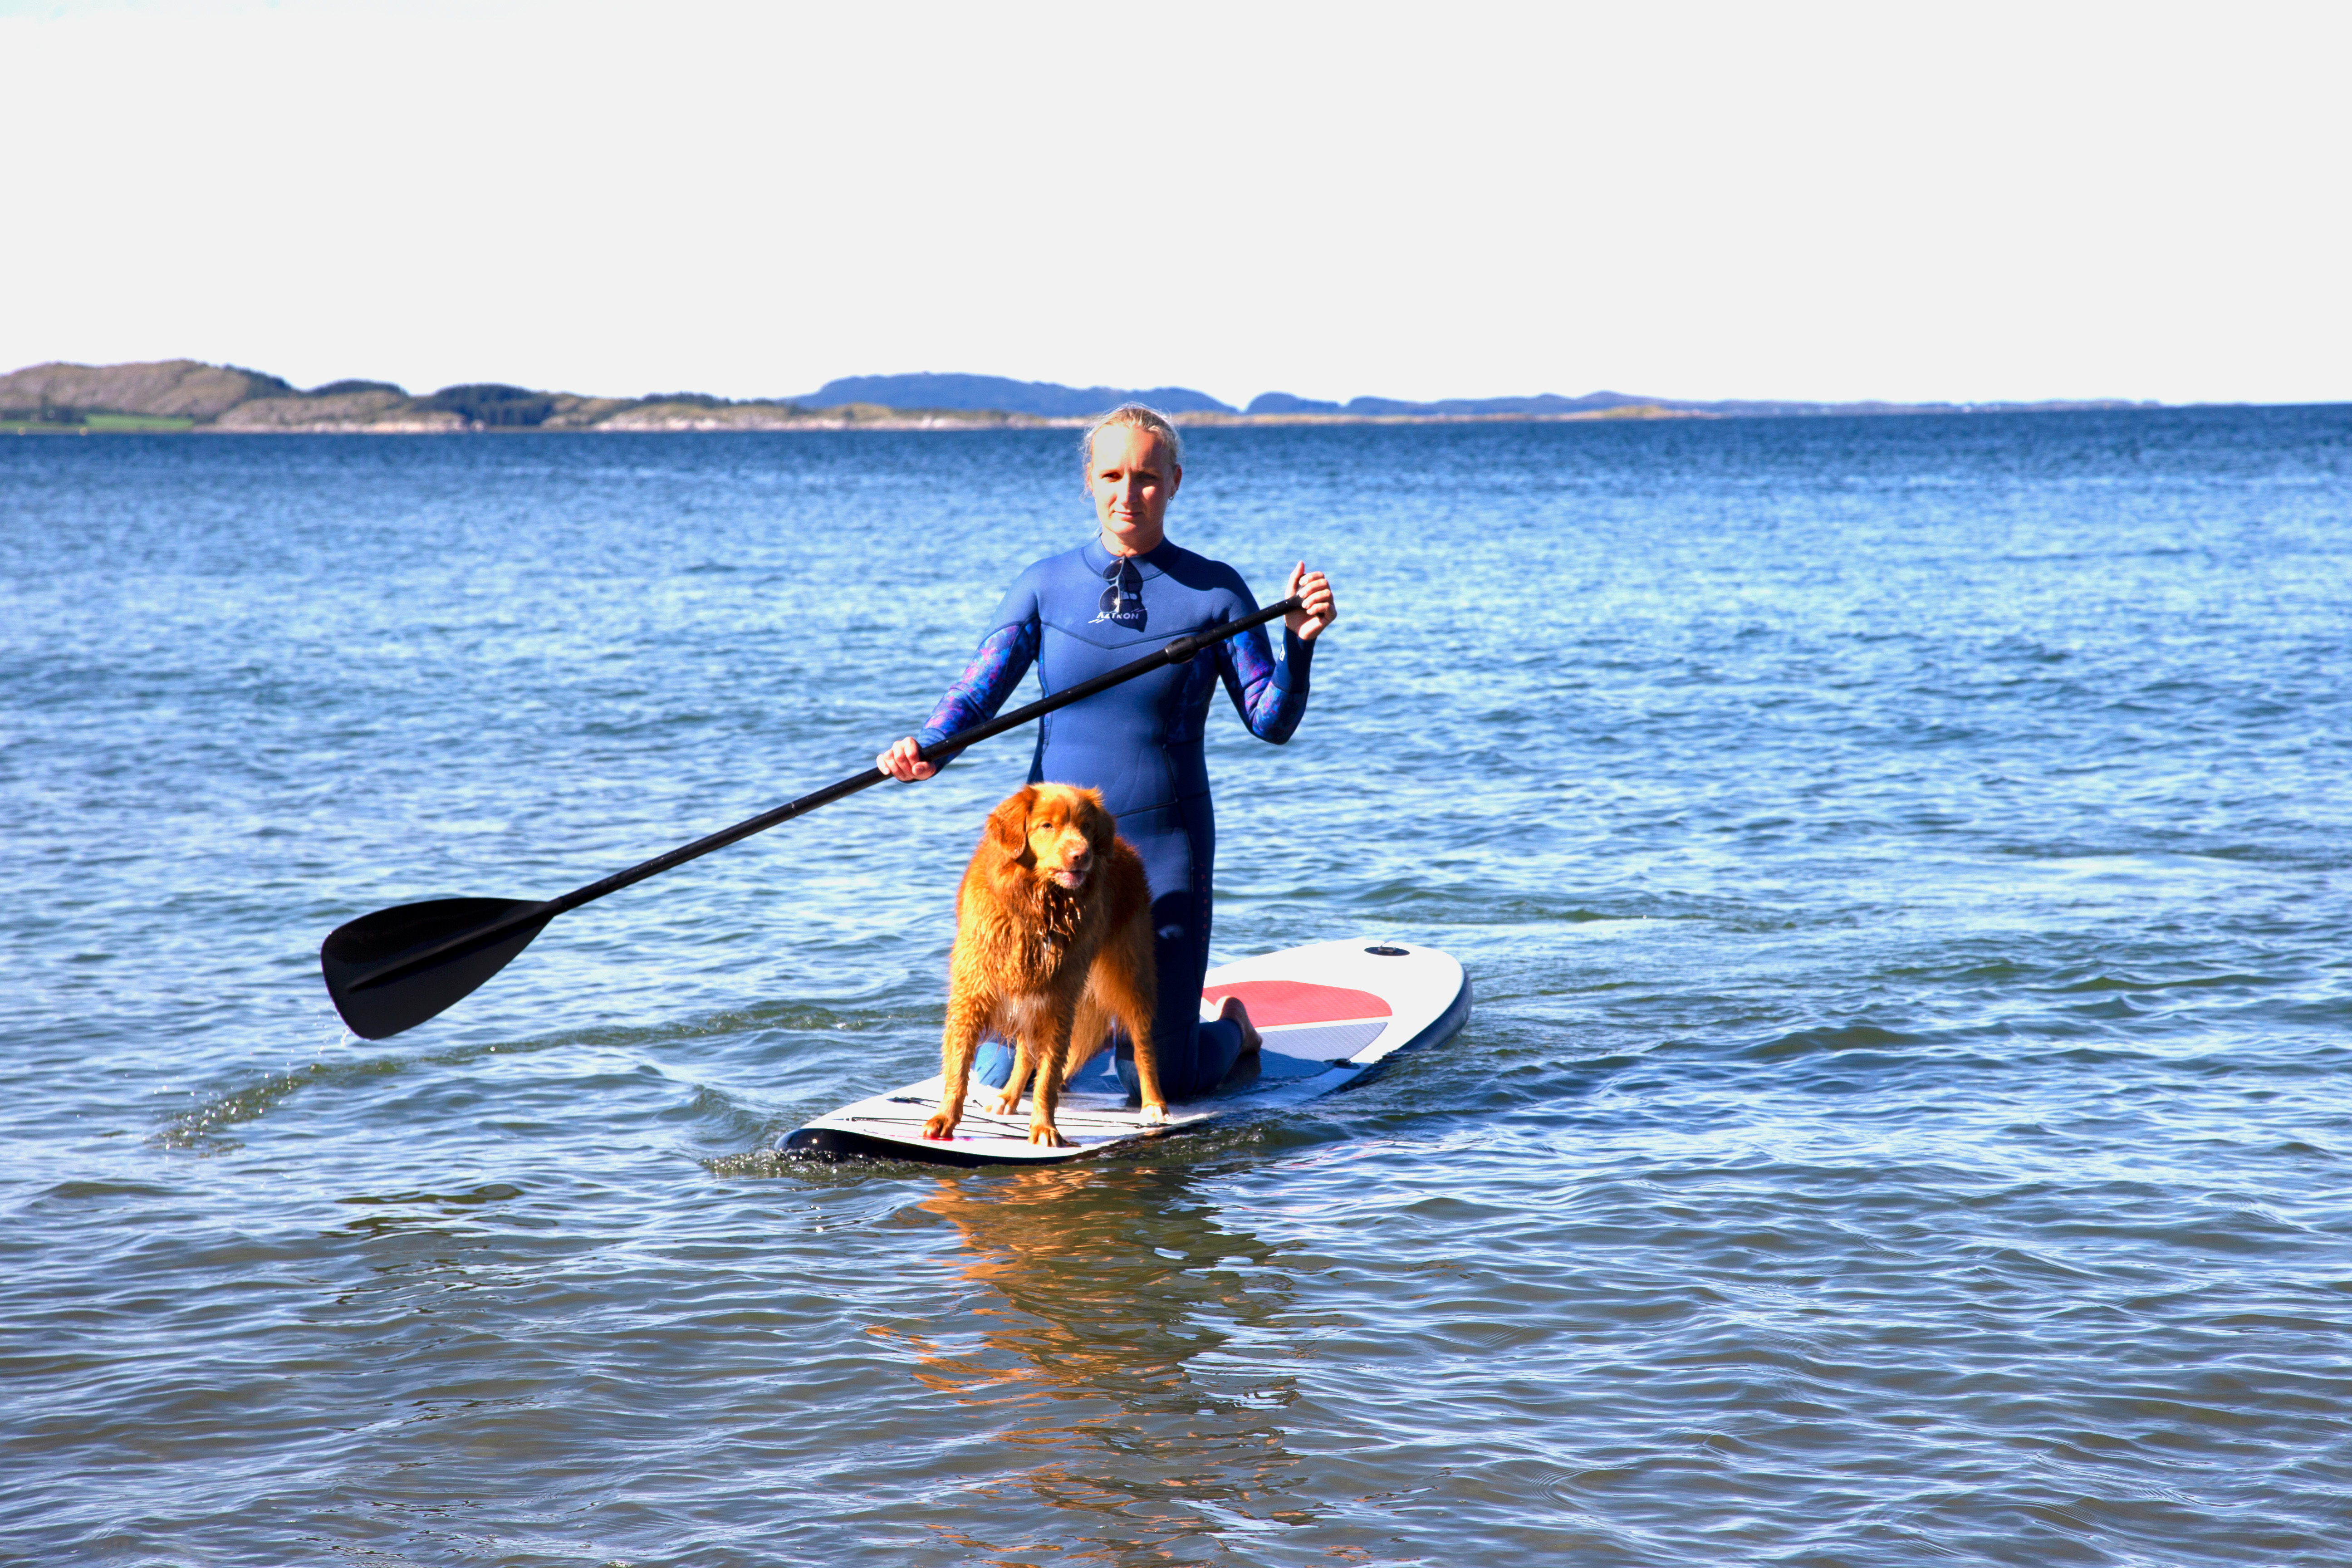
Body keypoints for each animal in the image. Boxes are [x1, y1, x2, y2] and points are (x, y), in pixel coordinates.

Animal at [926, 780, 1166, 1147]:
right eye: (1047, 826)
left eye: (1086, 827)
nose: (1082, 855)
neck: (1037, 908)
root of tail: (1124, 847)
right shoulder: (974, 995)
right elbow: (958, 1065)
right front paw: (944, 1119)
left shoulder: (1059, 1002)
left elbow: (1049, 1075)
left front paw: (1044, 1128)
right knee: (1026, 1049)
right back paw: (1008, 1097)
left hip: (1129, 973)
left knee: (1143, 1041)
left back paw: (1154, 1104)